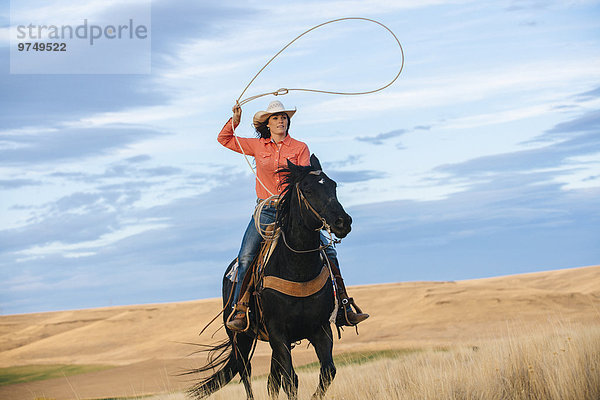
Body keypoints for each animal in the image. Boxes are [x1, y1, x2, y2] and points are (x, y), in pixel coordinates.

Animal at [189, 155, 352, 398]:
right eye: (308, 189)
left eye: (333, 185)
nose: (343, 222)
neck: (298, 270)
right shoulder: (278, 332)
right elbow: (291, 380)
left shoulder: (320, 329)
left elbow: (327, 372)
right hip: (240, 338)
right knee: (245, 373)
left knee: (272, 381)